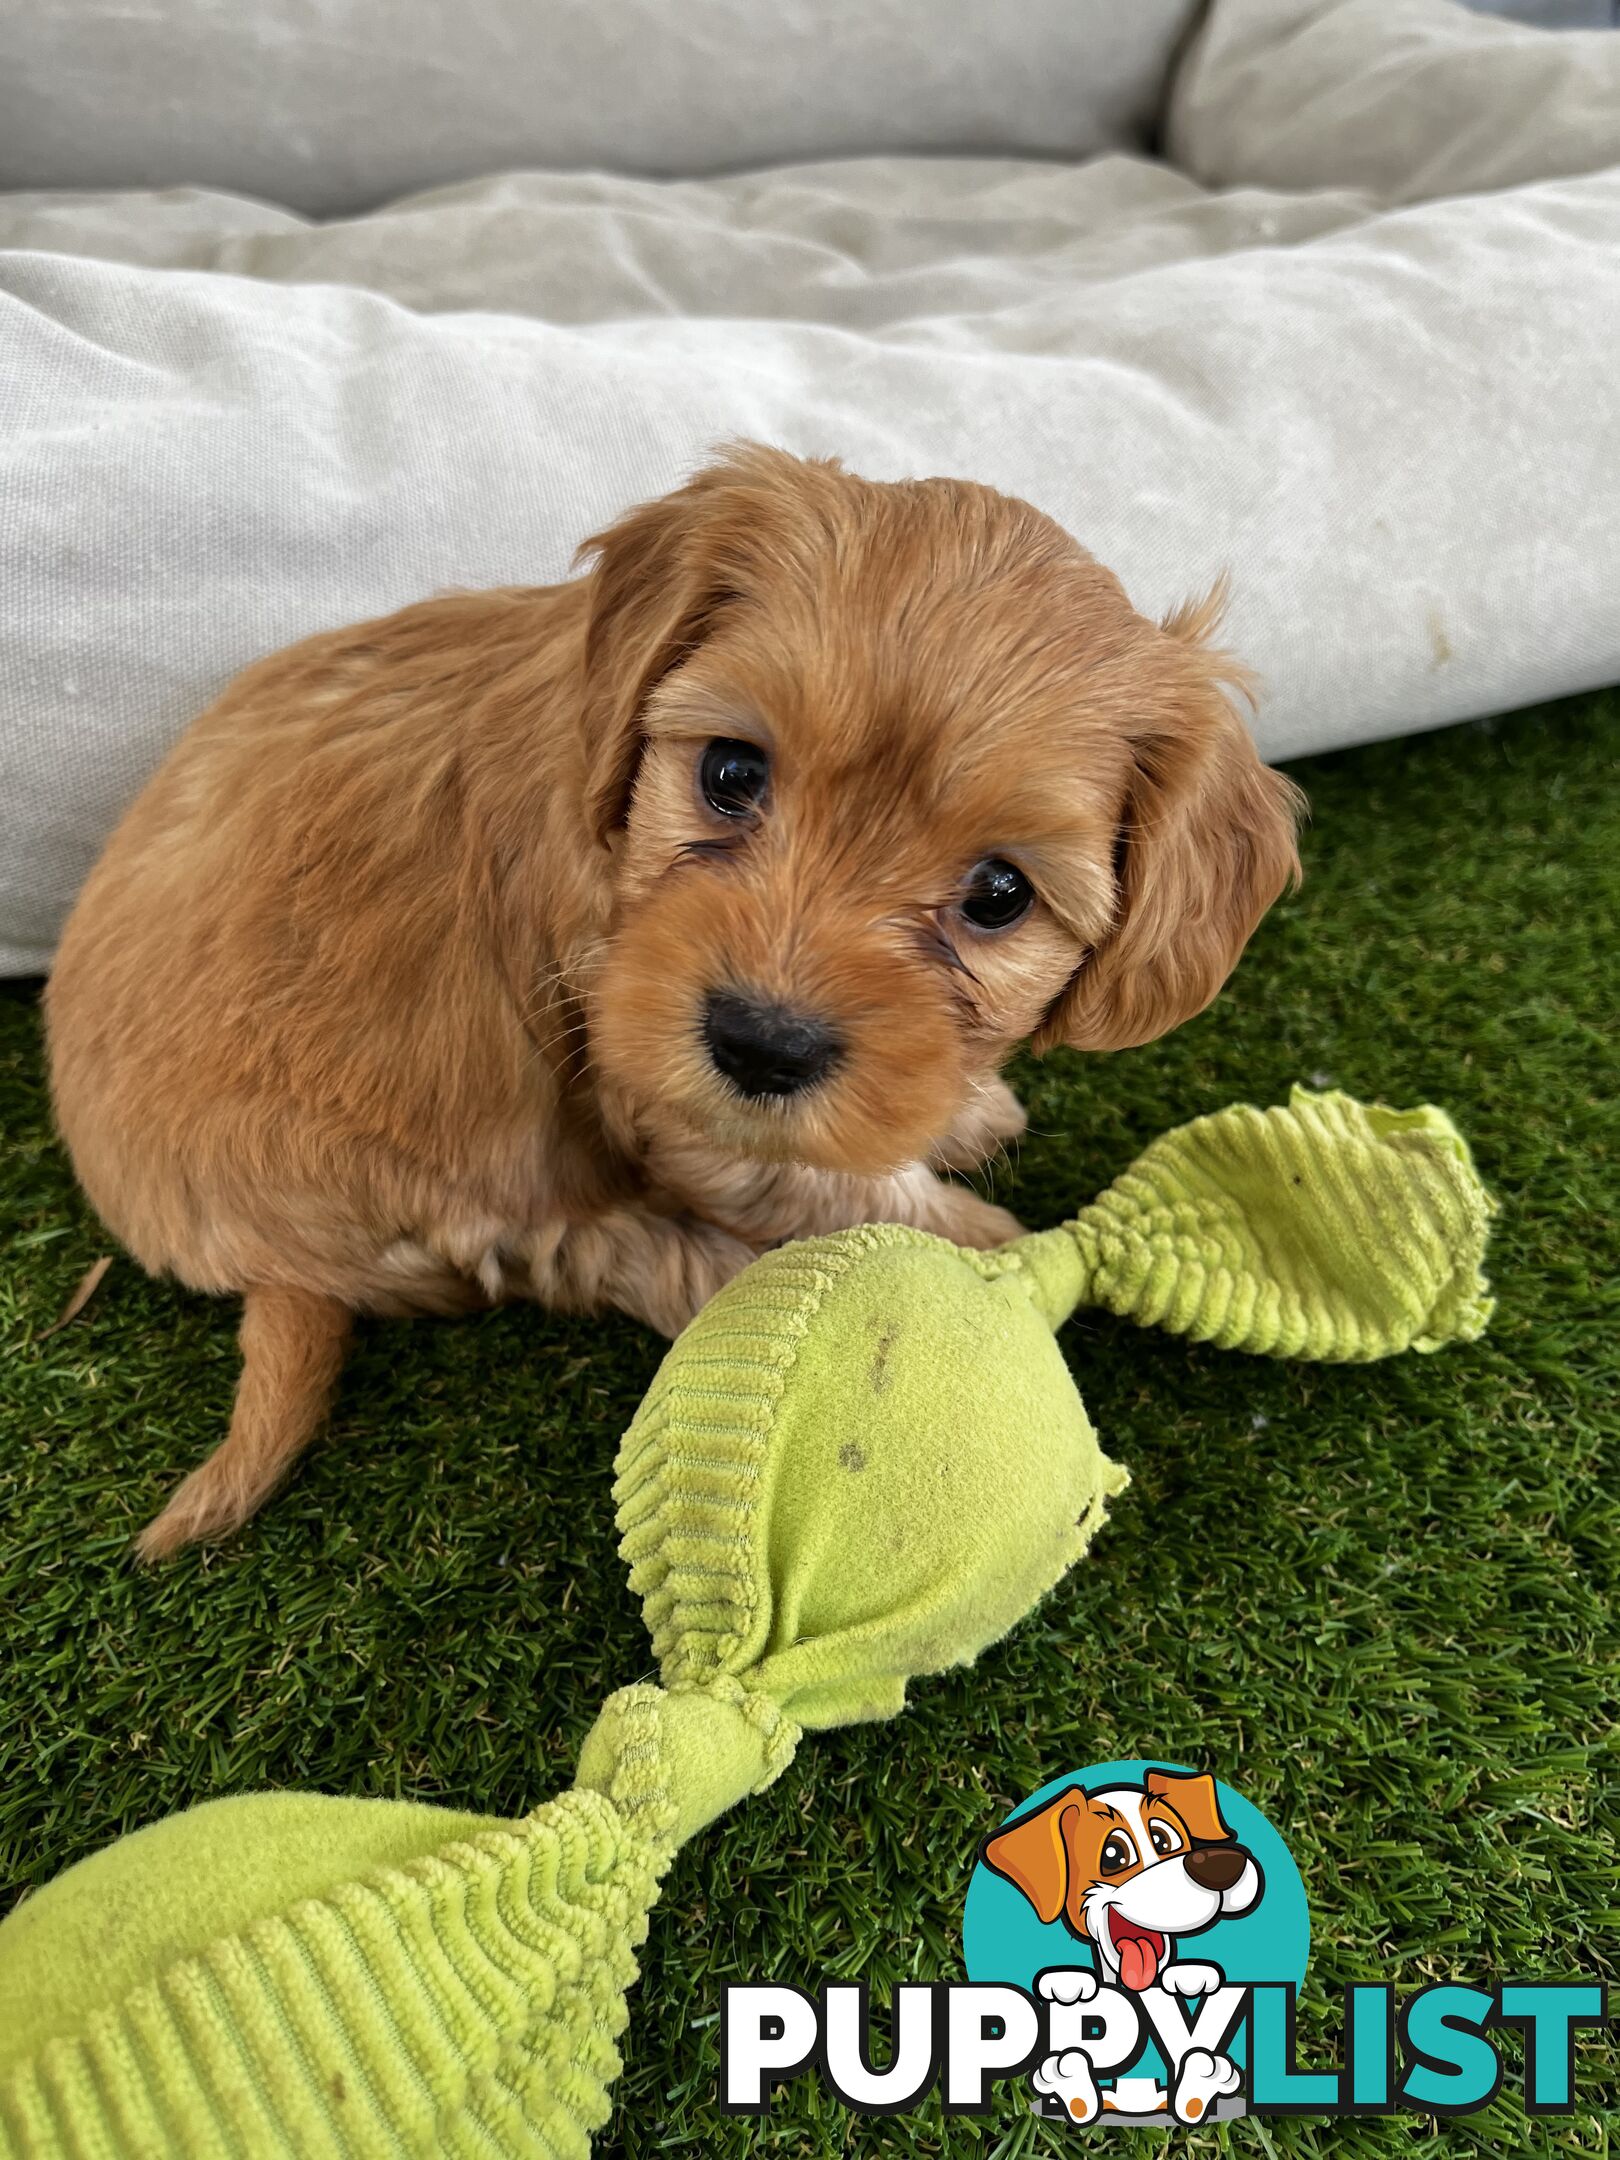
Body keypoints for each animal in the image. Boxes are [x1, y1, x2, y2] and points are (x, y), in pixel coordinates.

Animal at [44, 447, 1304, 1555]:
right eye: (731, 773)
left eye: (1000, 895)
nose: (763, 1044)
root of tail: (245, 1260)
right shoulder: (649, 1077)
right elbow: (835, 1188)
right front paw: (986, 1249)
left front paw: (965, 1113)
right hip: (455, 1178)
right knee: (578, 1250)